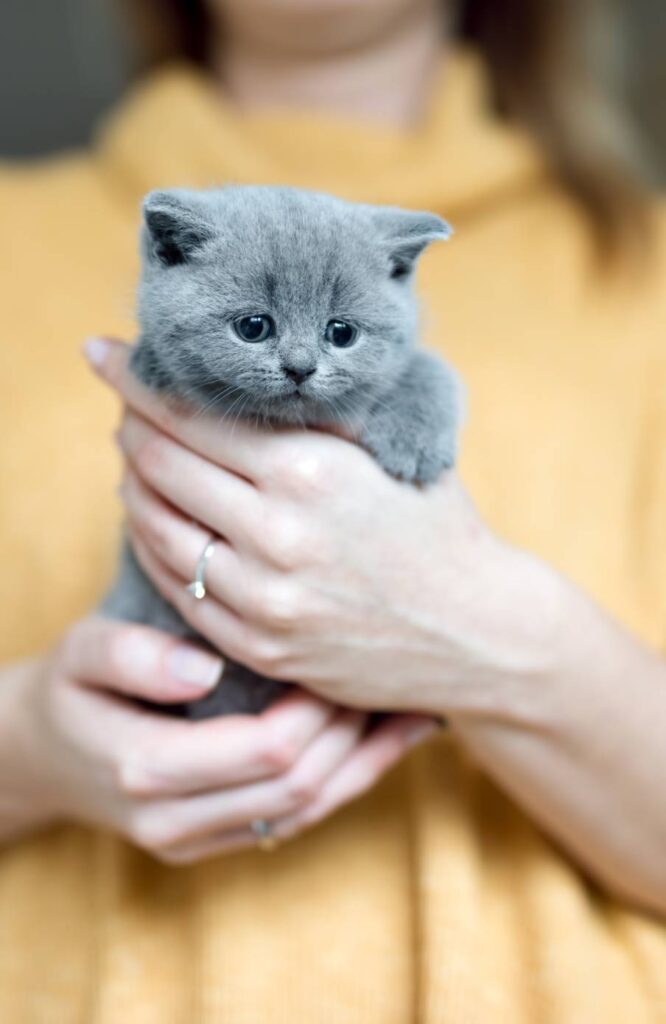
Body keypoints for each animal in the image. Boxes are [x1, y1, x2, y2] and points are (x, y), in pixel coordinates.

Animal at [100, 184, 461, 716]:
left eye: (341, 332)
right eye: (253, 327)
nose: (300, 367)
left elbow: (430, 368)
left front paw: (415, 443)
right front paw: (150, 361)